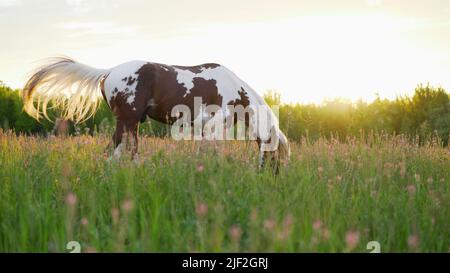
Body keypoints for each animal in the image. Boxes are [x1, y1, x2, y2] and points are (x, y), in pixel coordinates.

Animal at [21, 56, 290, 169]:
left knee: (130, 151)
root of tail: (109, 72)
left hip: (132, 124)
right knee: (114, 152)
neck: (235, 88)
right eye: (279, 154)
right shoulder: (214, 126)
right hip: (126, 121)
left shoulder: (205, 129)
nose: (274, 176)